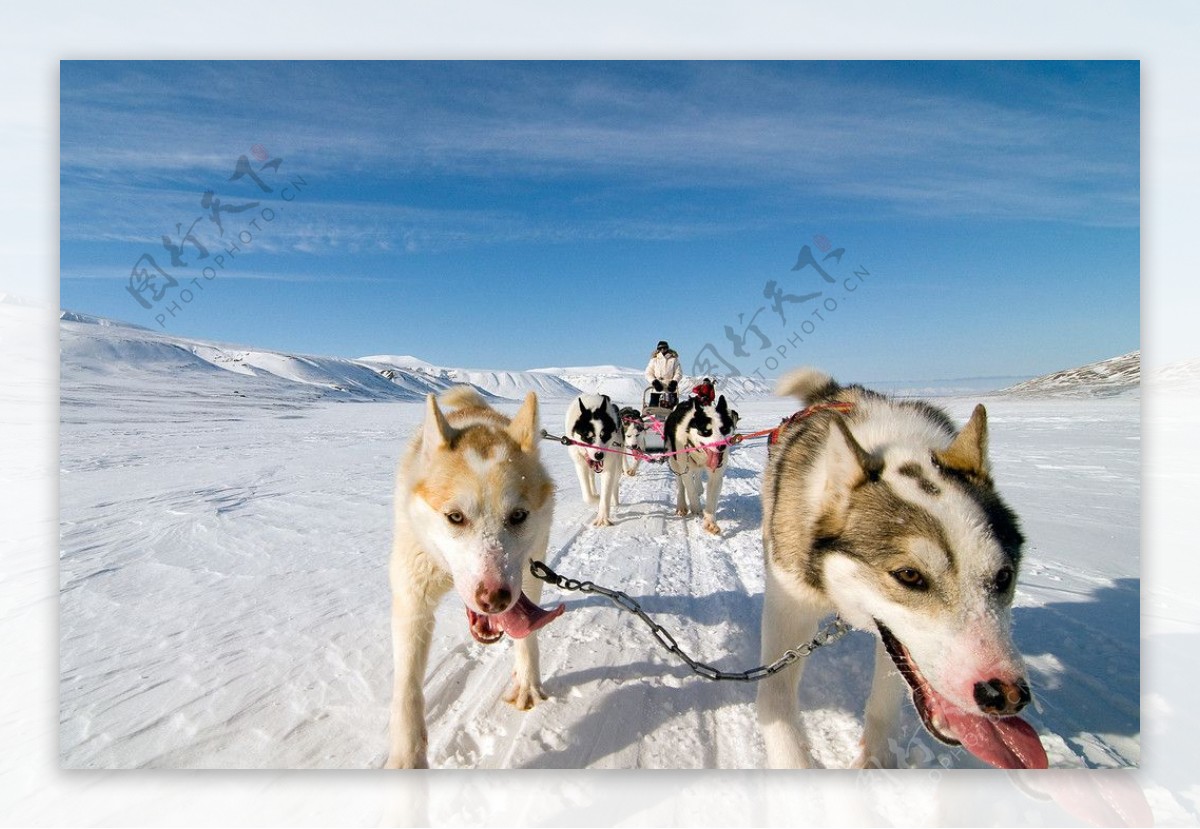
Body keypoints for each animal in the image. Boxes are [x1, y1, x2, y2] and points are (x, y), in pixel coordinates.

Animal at [388, 386, 566, 767]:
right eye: (455, 517)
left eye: (518, 515)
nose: (494, 598)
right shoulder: (413, 596)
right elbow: (407, 685)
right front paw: (408, 755)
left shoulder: (528, 576)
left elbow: (527, 637)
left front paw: (527, 682)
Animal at [568, 393, 628, 525]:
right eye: (587, 436)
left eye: (604, 435)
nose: (599, 455)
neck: (592, 406)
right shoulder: (580, 464)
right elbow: (587, 496)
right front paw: (596, 498)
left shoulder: (609, 464)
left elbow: (606, 491)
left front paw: (603, 517)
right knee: (591, 478)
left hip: (618, 461)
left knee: (615, 483)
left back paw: (614, 500)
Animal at [662, 398, 734, 537]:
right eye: (706, 432)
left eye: (724, 429)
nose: (721, 446)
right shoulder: (685, 469)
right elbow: (691, 490)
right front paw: (696, 508)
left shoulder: (716, 475)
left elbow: (711, 500)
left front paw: (710, 522)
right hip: (674, 461)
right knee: (680, 484)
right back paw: (682, 505)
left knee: (698, 474)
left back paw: (699, 487)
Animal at [758, 369, 1051, 772]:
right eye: (909, 576)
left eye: (1004, 576)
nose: (1005, 695)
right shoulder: (789, 607)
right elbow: (775, 698)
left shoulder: (896, 639)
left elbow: (886, 700)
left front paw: (876, 762)